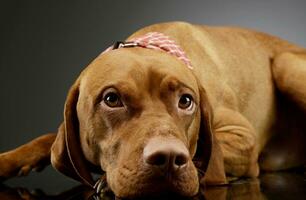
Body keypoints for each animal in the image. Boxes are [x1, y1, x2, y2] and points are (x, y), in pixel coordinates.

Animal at [0, 21, 306, 198]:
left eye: (186, 101)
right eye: (111, 99)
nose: (168, 158)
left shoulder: (243, 139)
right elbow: (48, 139)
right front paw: (9, 159)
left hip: (285, 64)